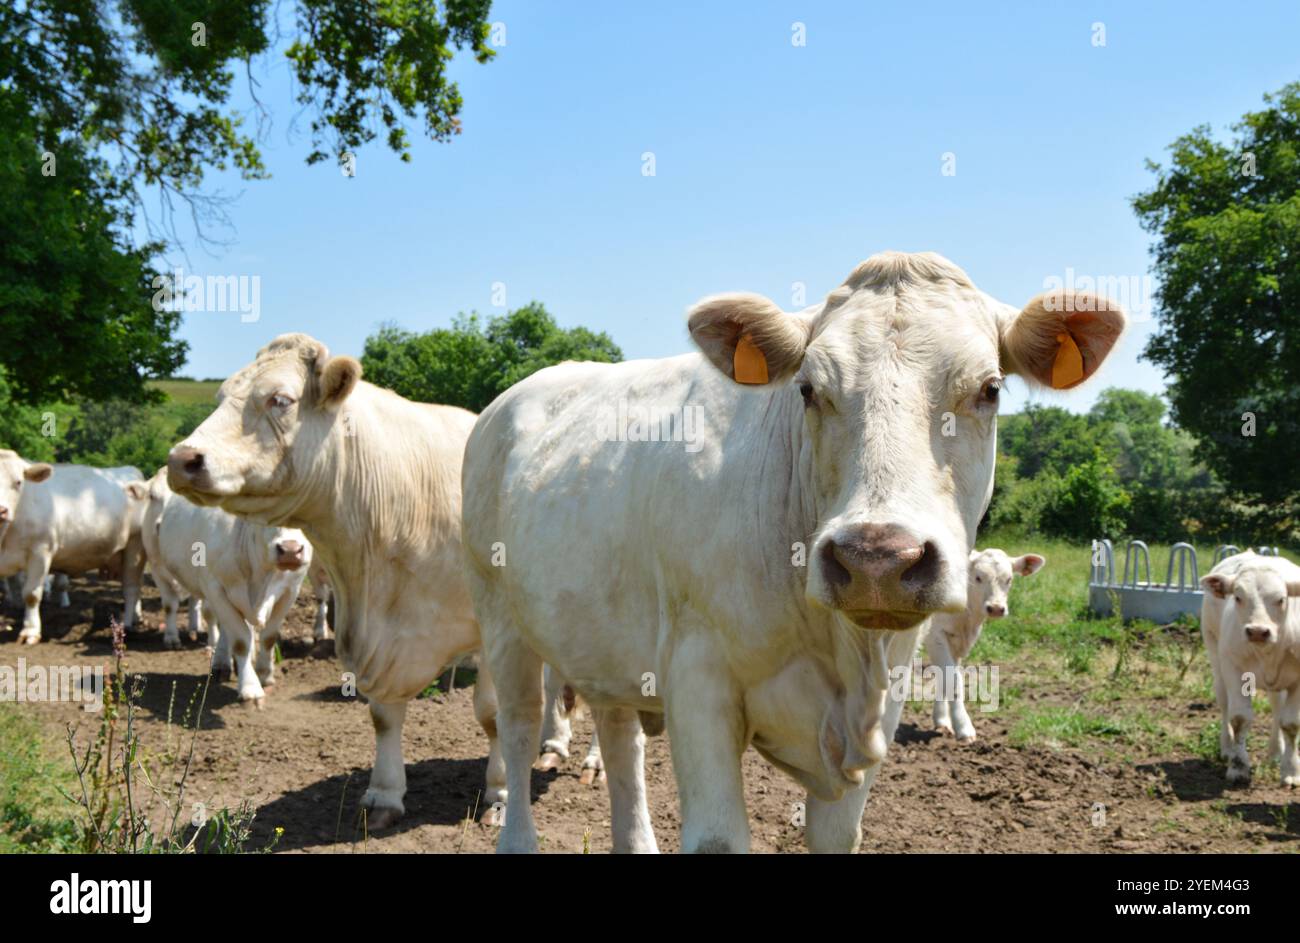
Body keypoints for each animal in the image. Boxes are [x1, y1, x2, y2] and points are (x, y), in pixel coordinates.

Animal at [0, 453, 147, 643]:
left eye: (18, 482)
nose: (1, 510)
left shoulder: (41, 551)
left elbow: (31, 594)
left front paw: (30, 631)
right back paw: (137, 617)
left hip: (134, 547)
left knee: (131, 588)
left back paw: (128, 624)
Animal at [141, 469, 310, 699]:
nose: (291, 550)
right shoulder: (215, 587)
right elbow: (239, 640)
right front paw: (249, 687)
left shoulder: (290, 590)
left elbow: (268, 636)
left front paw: (264, 674)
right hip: (159, 562)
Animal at [165, 334, 500, 828]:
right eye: (221, 396)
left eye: (280, 399)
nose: (181, 459)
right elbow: (383, 715)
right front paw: (384, 795)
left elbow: (494, 715)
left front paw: (500, 793)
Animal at [923, 548, 1044, 741]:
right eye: (978, 577)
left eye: (1009, 579)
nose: (996, 608)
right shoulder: (935, 635)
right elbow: (953, 680)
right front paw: (964, 727)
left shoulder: (956, 642)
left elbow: (946, 678)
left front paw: (942, 721)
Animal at [1201, 550, 1300, 786]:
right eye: (1238, 597)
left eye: (1281, 599)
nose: (1257, 631)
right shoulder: (1233, 669)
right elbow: (1239, 718)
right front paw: (1238, 767)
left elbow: (1290, 723)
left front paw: (1291, 769)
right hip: (1216, 659)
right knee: (1224, 704)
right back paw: (1227, 748)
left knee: (1276, 707)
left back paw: (1275, 752)